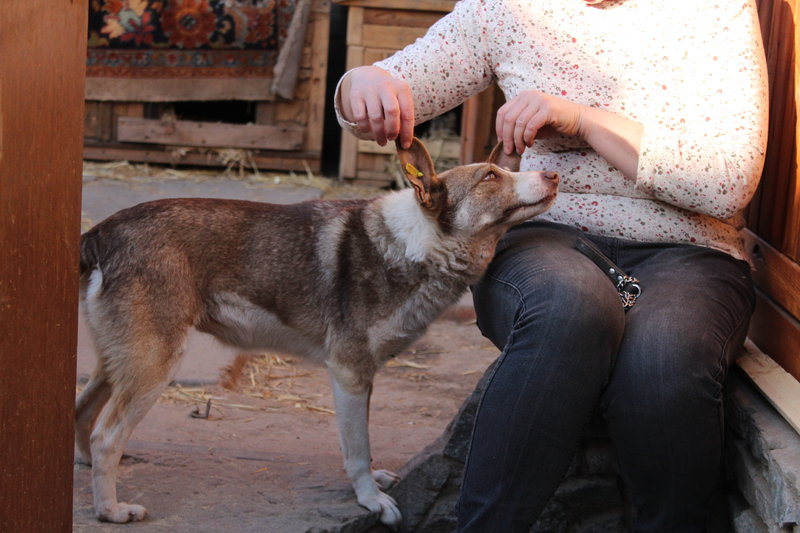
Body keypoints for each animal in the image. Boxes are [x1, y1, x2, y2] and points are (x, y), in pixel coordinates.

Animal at [78, 137, 560, 524]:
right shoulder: (348, 372)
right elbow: (358, 449)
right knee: (105, 435)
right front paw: (370, 499)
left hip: (119, 363)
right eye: (491, 176)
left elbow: (360, 445)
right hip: (154, 366)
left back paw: (92, 475)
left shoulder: (363, 378)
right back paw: (111, 510)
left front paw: (374, 482)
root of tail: (102, 230)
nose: (554, 173)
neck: (416, 244)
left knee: (85, 414)